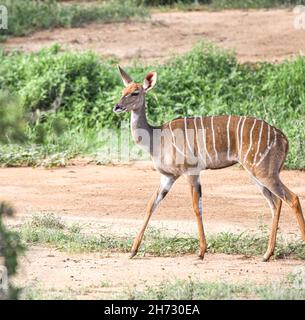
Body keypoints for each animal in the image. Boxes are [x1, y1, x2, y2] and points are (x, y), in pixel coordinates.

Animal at [113, 66, 304, 262]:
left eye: (135, 92)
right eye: (122, 91)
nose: (117, 107)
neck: (156, 139)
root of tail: (284, 139)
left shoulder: (190, 171)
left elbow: (196, 207)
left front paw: (201, 252)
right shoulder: (168, 177)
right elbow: (151, 204)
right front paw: (133, 251)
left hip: (264, 172)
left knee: (292, 198)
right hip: (257, 174)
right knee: (276, 202)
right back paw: (266, 254)